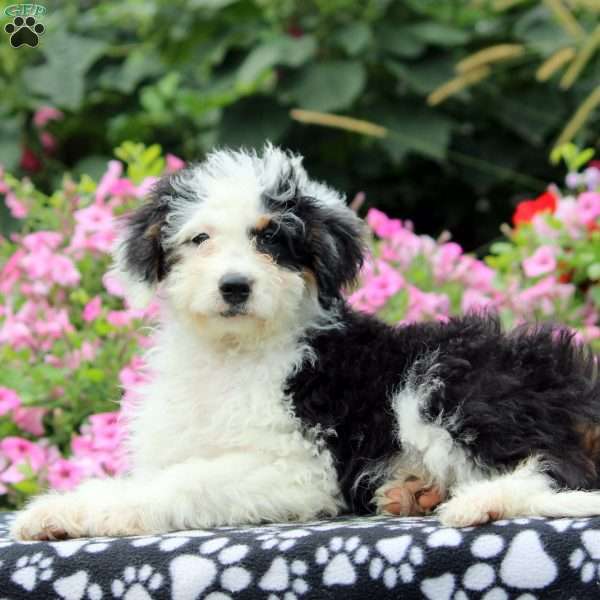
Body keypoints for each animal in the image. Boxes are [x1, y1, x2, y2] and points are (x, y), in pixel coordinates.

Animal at [11, 144, 600, 540]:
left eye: (272, 240)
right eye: (200, 239)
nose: (235, 286)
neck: (234, 352)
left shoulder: (301, 466)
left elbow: (184, 481)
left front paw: (93, 512)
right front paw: (59, 512)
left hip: (451, 381)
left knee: (563, 474)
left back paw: (481, 503)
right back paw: (415, 490)